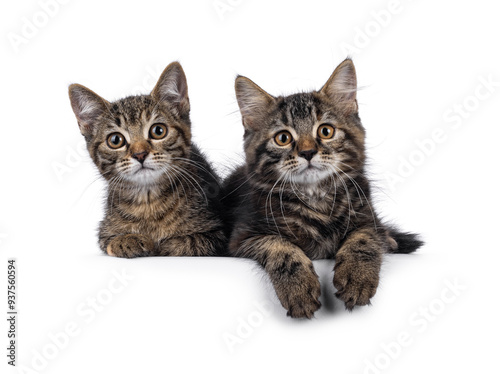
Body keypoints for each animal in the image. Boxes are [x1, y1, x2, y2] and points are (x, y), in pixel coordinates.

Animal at [69, 62, 227, 258]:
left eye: (158, 131)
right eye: (115, 140)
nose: (140, 154)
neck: (148, 201)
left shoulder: (215, 234)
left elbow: (183, 243)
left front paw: (160, 245)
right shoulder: (105, 233)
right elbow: (111, 241)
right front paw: (126, 241)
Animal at [225, 58, 424, 318]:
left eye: (325, 131)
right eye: (283, 138)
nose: (308, 152)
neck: (315, 197)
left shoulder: (368, 219)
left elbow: (363, 240)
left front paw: (357, 278)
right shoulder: (243, 236)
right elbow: (281, 247)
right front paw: (298, 289)